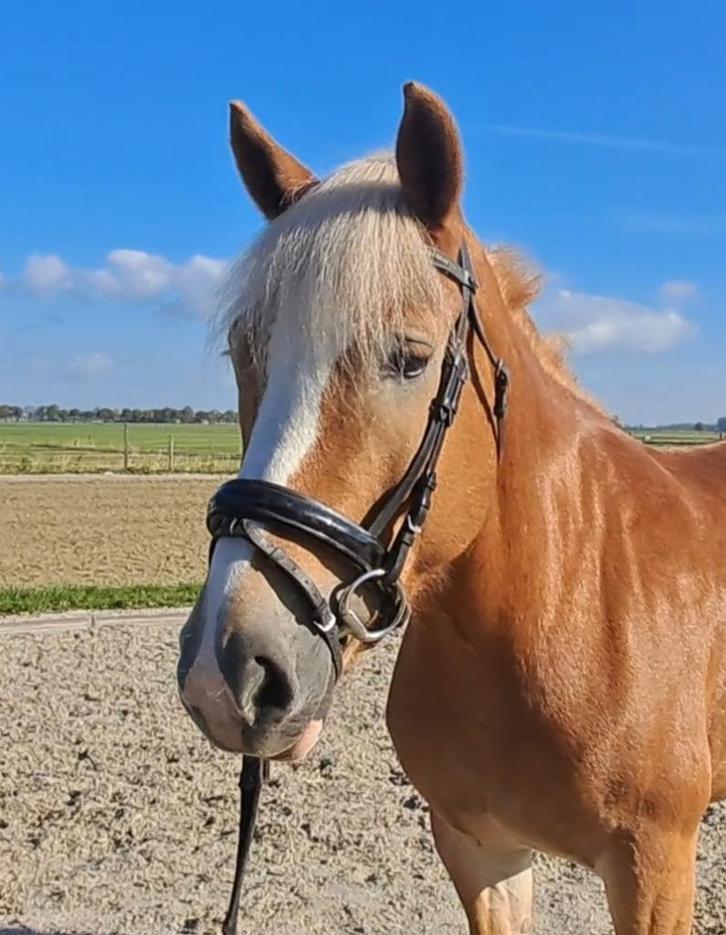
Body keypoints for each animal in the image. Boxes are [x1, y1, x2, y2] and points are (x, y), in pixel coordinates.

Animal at [177, 82, 726, 933]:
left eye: (409, 357)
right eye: (246, 350)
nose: (225, 668)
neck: (559, 600)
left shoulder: (653, 870)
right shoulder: (482, 850)